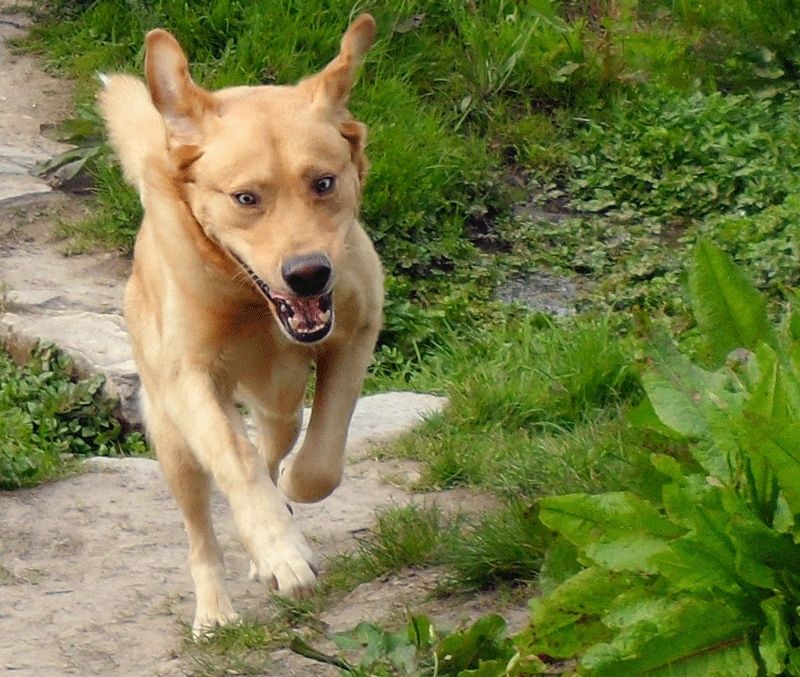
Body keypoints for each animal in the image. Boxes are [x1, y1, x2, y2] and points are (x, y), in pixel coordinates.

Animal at [97, 13, 384, 632]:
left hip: (280, 406)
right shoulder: (188, 380)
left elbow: (320, 463)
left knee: (272, 448)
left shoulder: (354, 336)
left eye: (324, 183)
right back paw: (214, 613)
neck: (251, 302)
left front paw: (289, 509)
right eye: (246, 198)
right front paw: (280, 552)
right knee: (201, 530)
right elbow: (235, 459)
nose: (308, 274)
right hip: (173, 442)